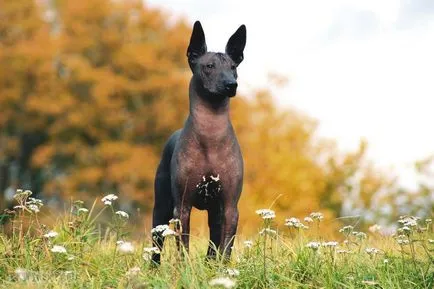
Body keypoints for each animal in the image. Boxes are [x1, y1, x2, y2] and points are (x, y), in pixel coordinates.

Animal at [151, 20, 246, 264]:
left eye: (234, 67)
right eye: (209, 66)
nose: (231, 84)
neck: (210, 135)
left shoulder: (230, 206)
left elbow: (226, 247)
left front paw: (223, 268)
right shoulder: (182, 207)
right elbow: (182, 246)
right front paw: (184, 268)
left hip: (215, 212)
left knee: (214, 241)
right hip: (161, 208)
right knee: (156, 243)